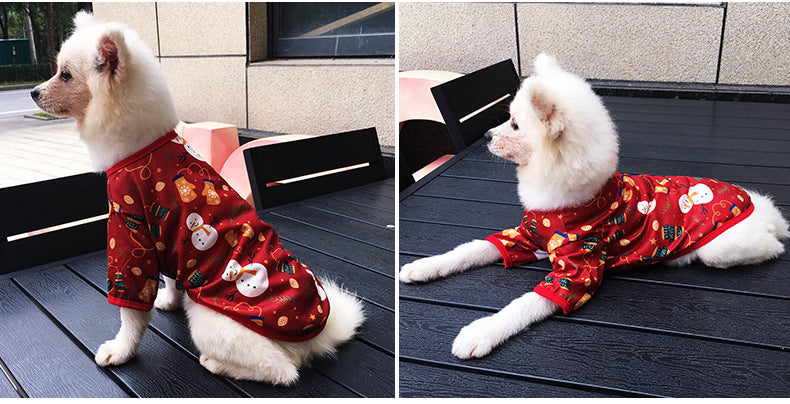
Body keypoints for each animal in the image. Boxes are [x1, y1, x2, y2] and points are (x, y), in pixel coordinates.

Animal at [30, 11, 366, 386]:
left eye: (65, 74)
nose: (32, 92)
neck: (141, 148)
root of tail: (319, 335)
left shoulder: (130, 232)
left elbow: (131, 314)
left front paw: (120, 351)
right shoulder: (165, 240)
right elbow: (170, 278)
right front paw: (169, 299)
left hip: (212, 320)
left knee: (282, 371)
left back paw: (215, 364)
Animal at [406, 53, 788, 360]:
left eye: (514, 124)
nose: (485, 135)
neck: (565, 203)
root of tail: (759, 205)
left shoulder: (578, 272)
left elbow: (526, 303)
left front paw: (481, 332)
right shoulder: (524, 236)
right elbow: (469, 249)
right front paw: (424, 266)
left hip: (721, 249)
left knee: (771, 247)